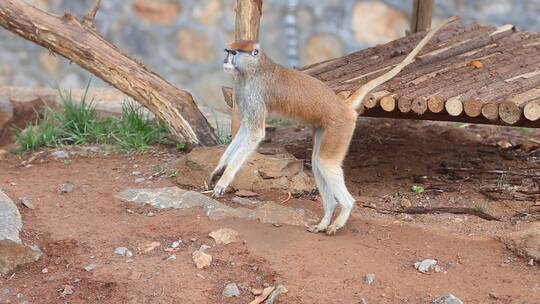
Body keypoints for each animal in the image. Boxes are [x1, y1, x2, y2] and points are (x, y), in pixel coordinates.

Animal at [211, 16, 460, 235]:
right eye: (228, 52)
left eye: (234, 53)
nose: (225, 60)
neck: (255, 68)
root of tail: (343, 105)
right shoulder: (242, 89)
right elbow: (245, 129)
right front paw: (219, 168)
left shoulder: (254, 91)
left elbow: (255, 133)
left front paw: (224, 180)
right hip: (327, 127)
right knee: (317, 162)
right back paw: (326, 217)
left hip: (341, 127)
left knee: (325, 162)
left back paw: (342, 213)